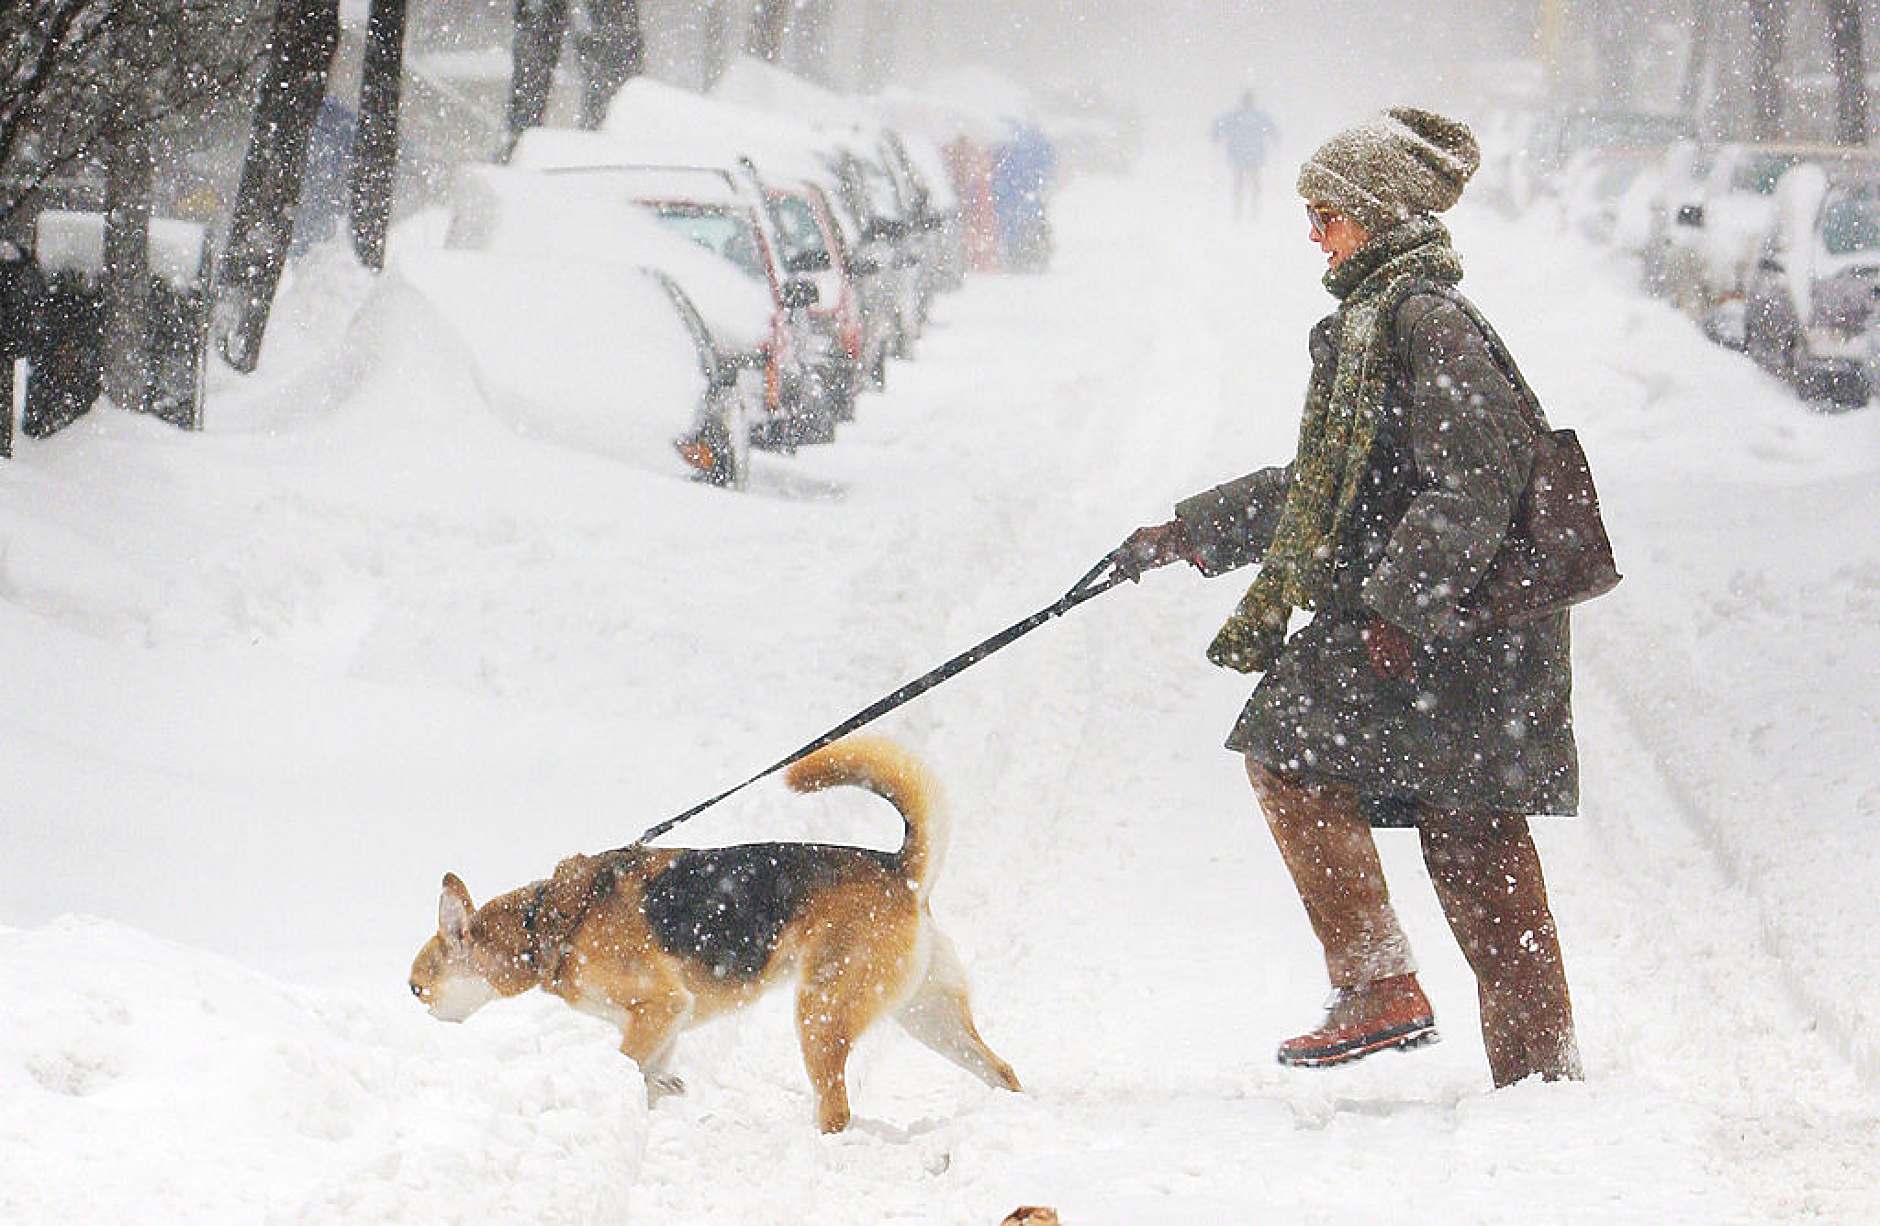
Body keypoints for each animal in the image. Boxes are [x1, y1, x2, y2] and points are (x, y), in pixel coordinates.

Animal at [411, 733, 1022, 1135]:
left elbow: (627, 1065)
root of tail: (900, 870)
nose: (417, 1011)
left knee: (837, 1108)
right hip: (930, 1018)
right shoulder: (664, 1023)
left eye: (418, 989)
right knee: (1002, 1070)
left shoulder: (658, 1007)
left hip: (821, 1015)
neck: (551, 923)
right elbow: (647, 1079)